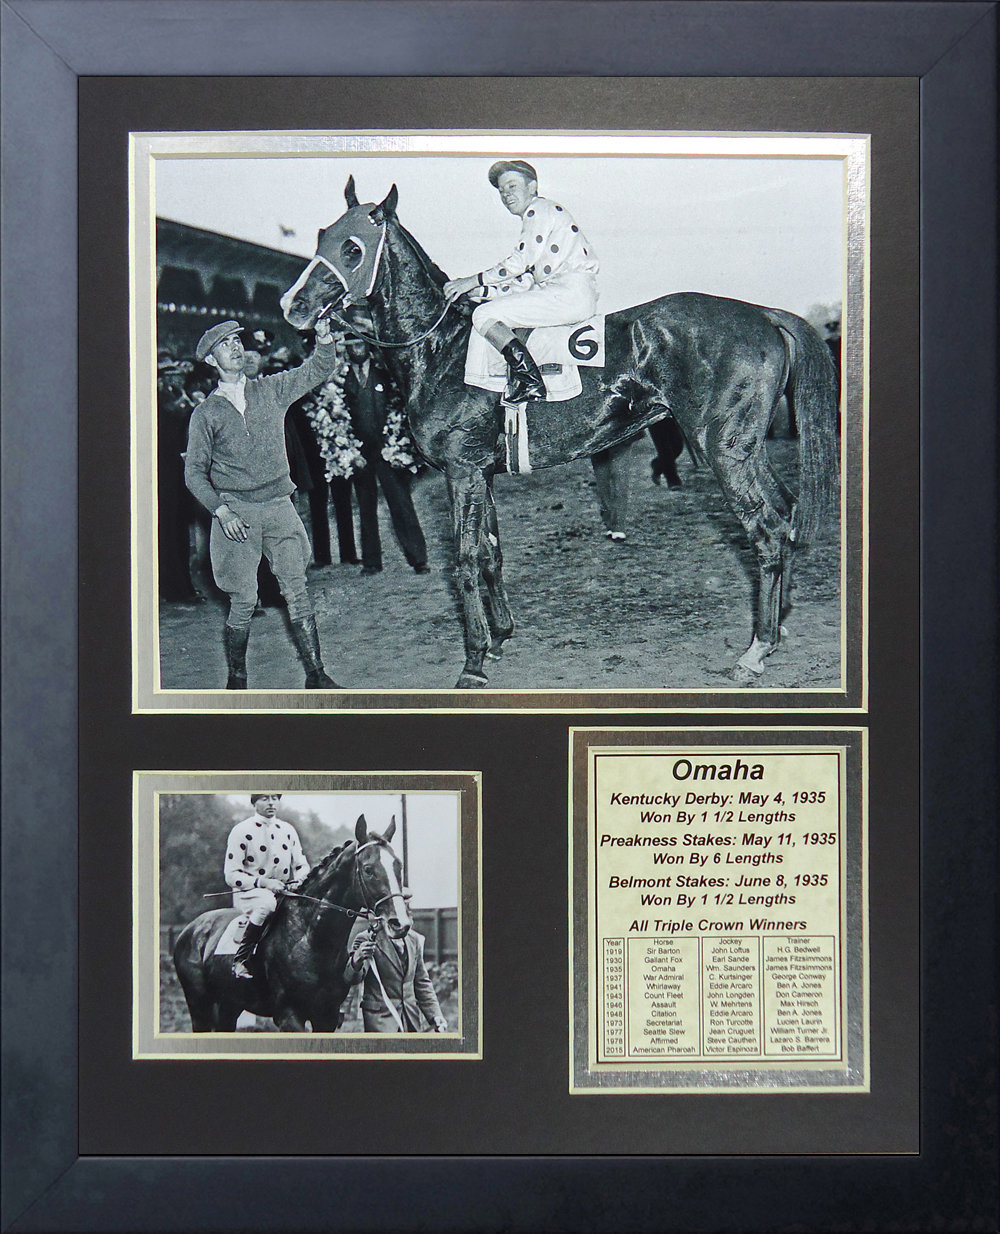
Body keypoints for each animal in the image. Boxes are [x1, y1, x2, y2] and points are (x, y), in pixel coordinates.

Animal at [172, 819, 409, 1031]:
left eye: (399, 865)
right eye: (368, 869)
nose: (400, 924)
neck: (309, 939)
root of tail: (191, 929)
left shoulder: (326, 1016)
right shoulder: (289, 1016)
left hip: (229, 1005)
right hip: (199, 1006)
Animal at [282, 180, 839, 691]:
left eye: (353, 248)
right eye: (323, 236)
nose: (292, 304)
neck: (442, 349)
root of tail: (761, 313)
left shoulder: (461, 471)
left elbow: (465, 559)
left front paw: (473, 661)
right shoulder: (482, 473)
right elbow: (490, 552)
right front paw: (501, 636)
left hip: (722, 448)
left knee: (766, 529)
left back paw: (756, 648)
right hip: (743, 447)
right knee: (786, 509)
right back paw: (780, 621)